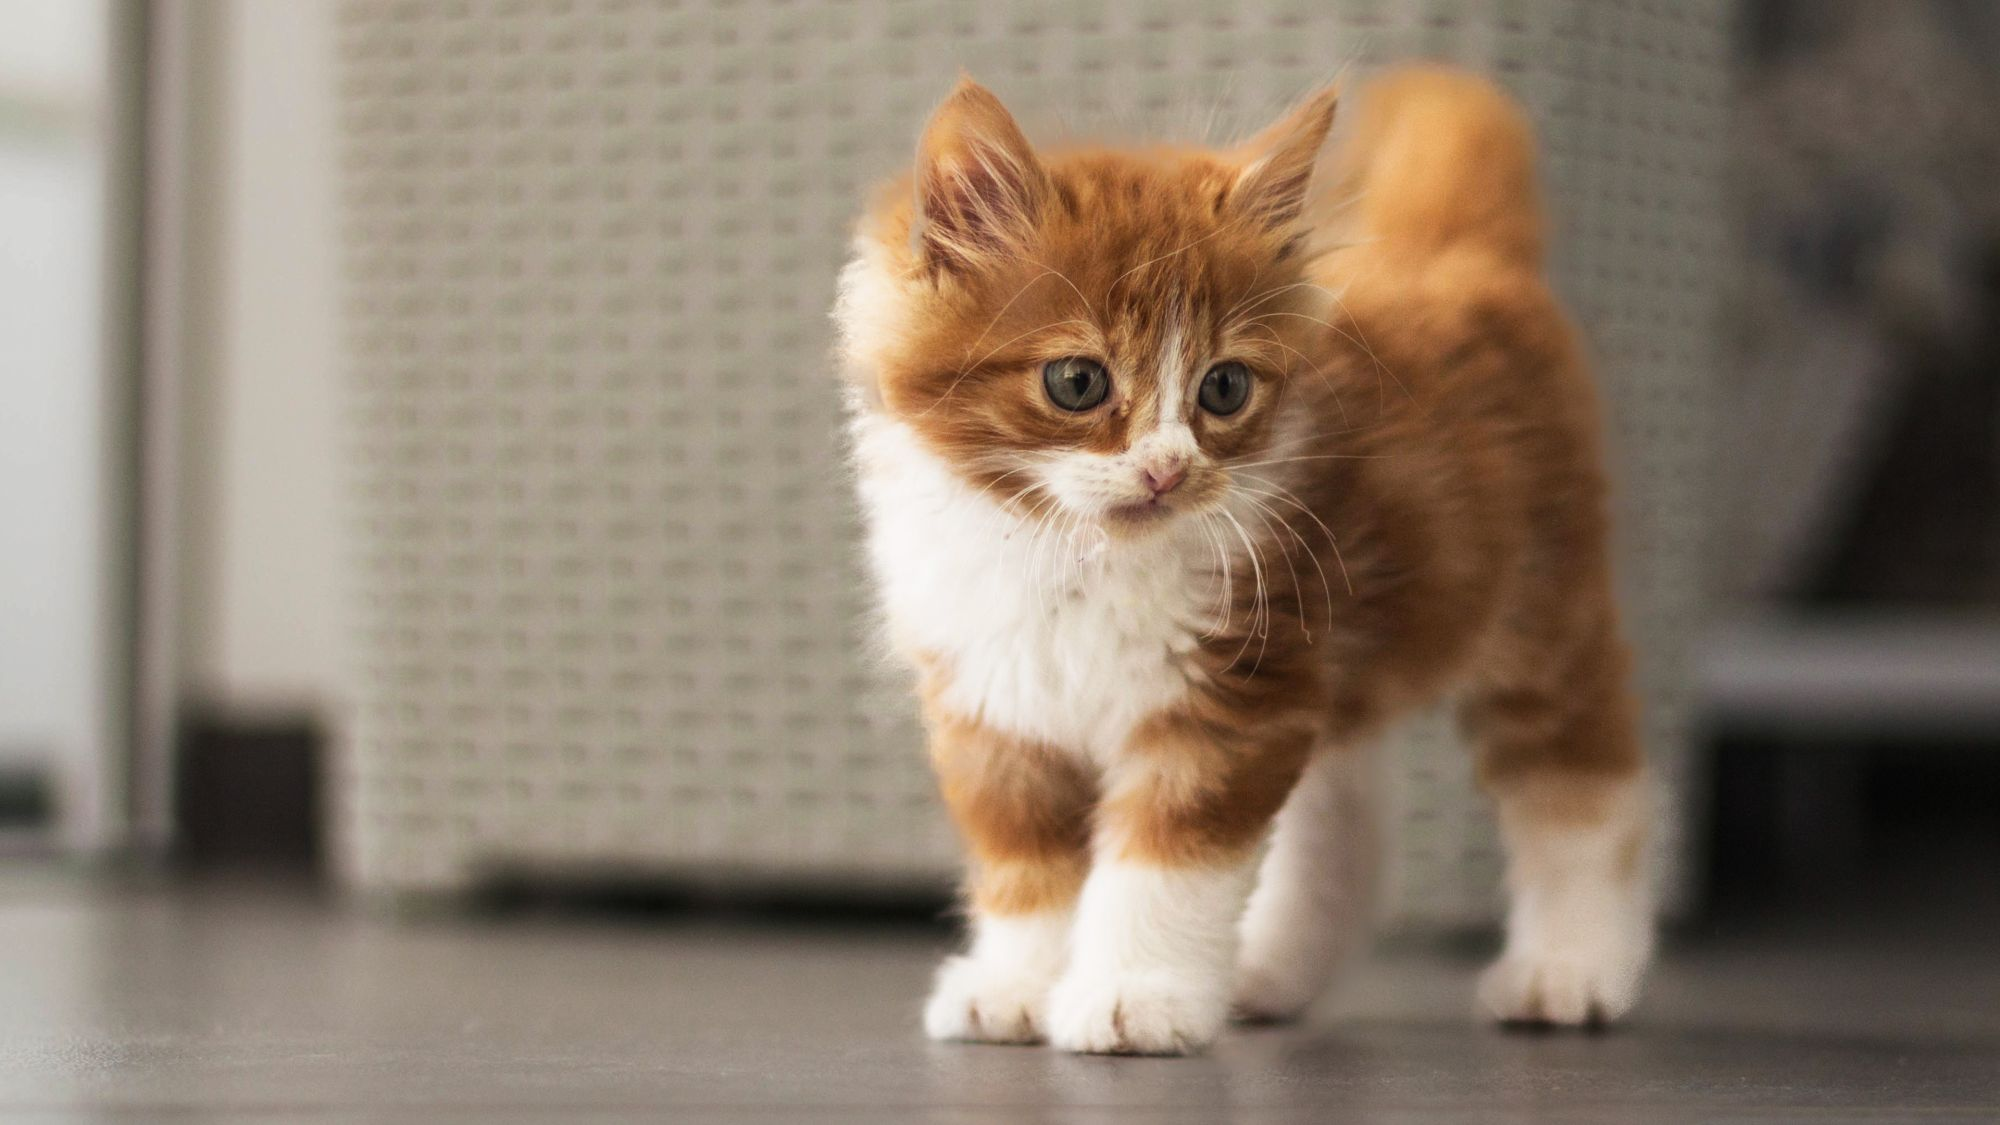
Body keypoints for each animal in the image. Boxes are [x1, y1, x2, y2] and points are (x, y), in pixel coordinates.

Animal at [832, 68, 1656, 1048]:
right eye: (1077, 381)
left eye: (1223, 388)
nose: (1166, 468)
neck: (1074, 564)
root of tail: (1460, 254)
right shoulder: (997, 712)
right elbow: (1028, 866)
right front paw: (1018, 983)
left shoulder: (1227, 700)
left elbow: (1163, 865)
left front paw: (1135, 994)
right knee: (1347, 829)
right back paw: (1268, 971)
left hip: (1540, 614)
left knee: (1585, 792)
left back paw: (1569, 969)